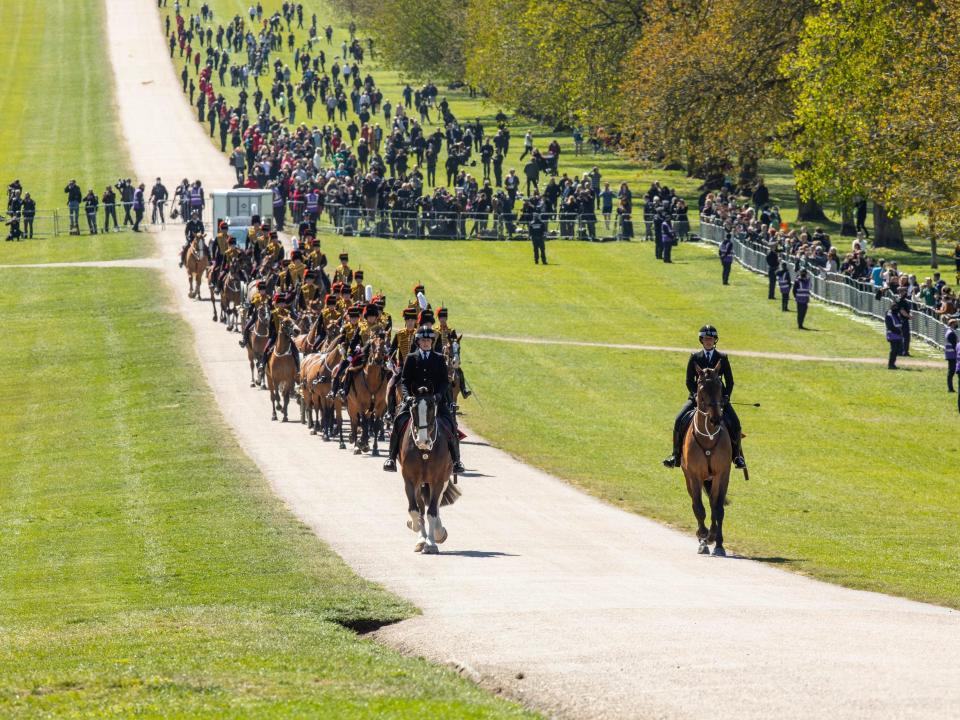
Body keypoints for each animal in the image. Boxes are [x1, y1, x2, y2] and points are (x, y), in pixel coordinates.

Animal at [400, 390, 464, 556]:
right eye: (413, 410)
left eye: (431, 410)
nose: (423, 441)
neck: (424, 452)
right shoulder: (410, 480)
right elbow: (415, 510)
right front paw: (417, 531)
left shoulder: (438, 480)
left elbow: (432, 512)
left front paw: (432, 543)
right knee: (421, 506)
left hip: (444, 478)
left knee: (436, 504)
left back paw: (438, 532)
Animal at [680, 366, 732, 556]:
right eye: (701, 390)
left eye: (719, 388)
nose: (715, 419)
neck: (708, 437)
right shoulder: (694, 475)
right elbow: (699, 508)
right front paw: (703, 537)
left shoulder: (722, 474)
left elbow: (717, 508)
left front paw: (717, 542)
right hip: (689, 477)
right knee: (696, 503)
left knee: (713, 503)